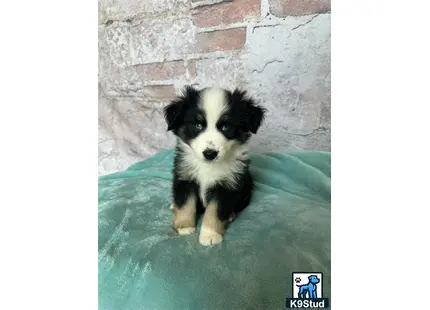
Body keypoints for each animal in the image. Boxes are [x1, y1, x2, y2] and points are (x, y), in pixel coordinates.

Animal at [164, 86, 266, 246]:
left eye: (226, 126)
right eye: (198, 125)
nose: (210, 154)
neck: (208, 166)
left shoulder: (227, 185)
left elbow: (214, 211)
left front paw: (210, 235)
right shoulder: (185, 177)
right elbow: (186, 203)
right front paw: (184, 226)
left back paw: (230, 215)